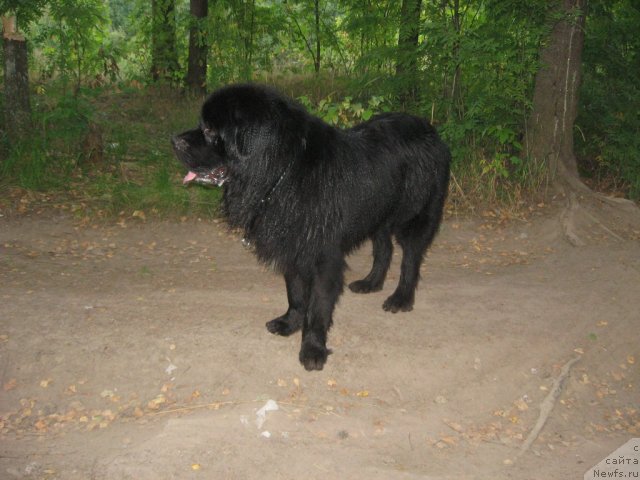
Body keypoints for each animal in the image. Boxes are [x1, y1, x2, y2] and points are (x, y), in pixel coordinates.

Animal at [170, 84, 450, 372]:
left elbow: (318, 307)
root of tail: (431, 131)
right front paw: (290, 323)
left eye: (210, 130)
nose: (174, 141)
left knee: (410, 259)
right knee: (384, 249)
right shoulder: (292, 245)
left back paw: (401, 299)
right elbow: (295, 293)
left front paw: (313, 349)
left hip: (414, 215)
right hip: (377, 214)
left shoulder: (323, 257)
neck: (282, 172)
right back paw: (371, 283)